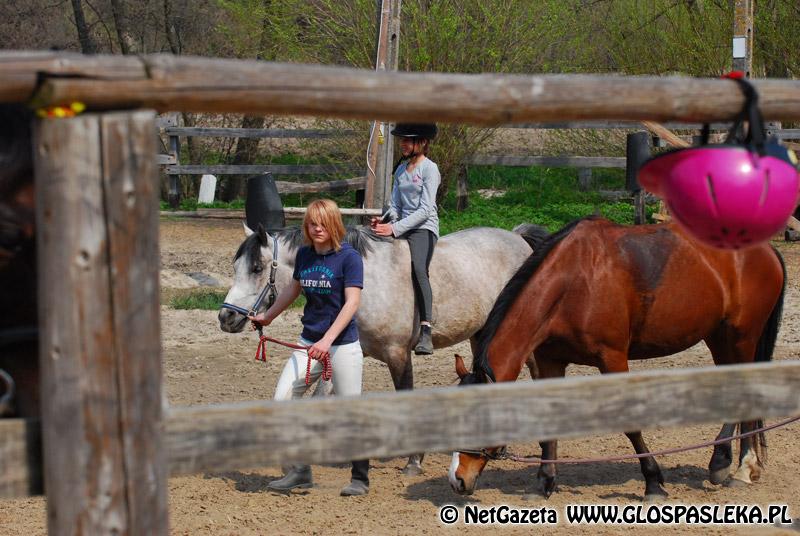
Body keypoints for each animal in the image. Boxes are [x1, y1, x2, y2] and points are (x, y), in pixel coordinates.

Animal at [219, 222, 544, 474]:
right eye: (235, 267)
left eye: (257, 268)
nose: (226, 317)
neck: (364, 282)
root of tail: (518, 237)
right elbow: (322, 396)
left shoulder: (398, 354)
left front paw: (414, 461)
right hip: (481, 336)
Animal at [450, 216, 788, 500]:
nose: (458, 480)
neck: (573, 282)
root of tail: (766, 249)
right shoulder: (550, 361)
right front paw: (544, 483)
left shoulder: (612, 359)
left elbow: (631, 425)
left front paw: (653, 483)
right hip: (718, 337)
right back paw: (728, 463)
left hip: (742, 337)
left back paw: (738, 467)